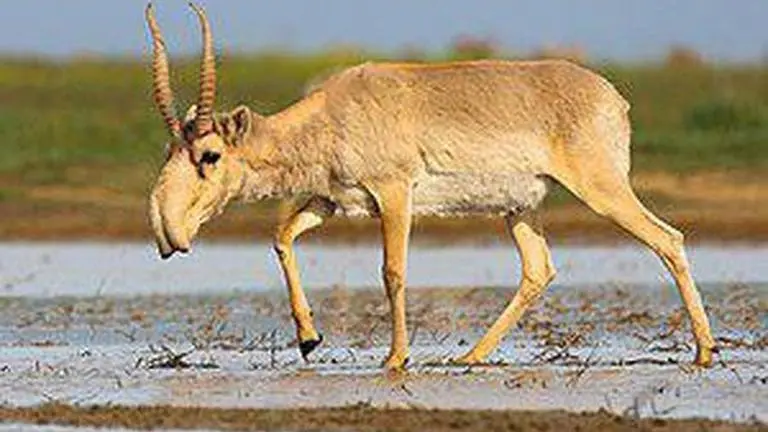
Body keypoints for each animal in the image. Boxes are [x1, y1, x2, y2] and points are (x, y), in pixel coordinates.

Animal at [146, 4, 716, 370]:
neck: (334, 112)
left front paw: (395, 357)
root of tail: (613, 98)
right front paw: (309, 339)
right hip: (519, 208)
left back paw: (705, 351)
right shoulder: (331, 200)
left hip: (602, 190)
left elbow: (393, 272)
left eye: (209, 155)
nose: (166, 232)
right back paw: (471, 355)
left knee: (668, 239)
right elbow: (282, 237)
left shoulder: (395, 194)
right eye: (170, 149)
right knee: (538, 269)